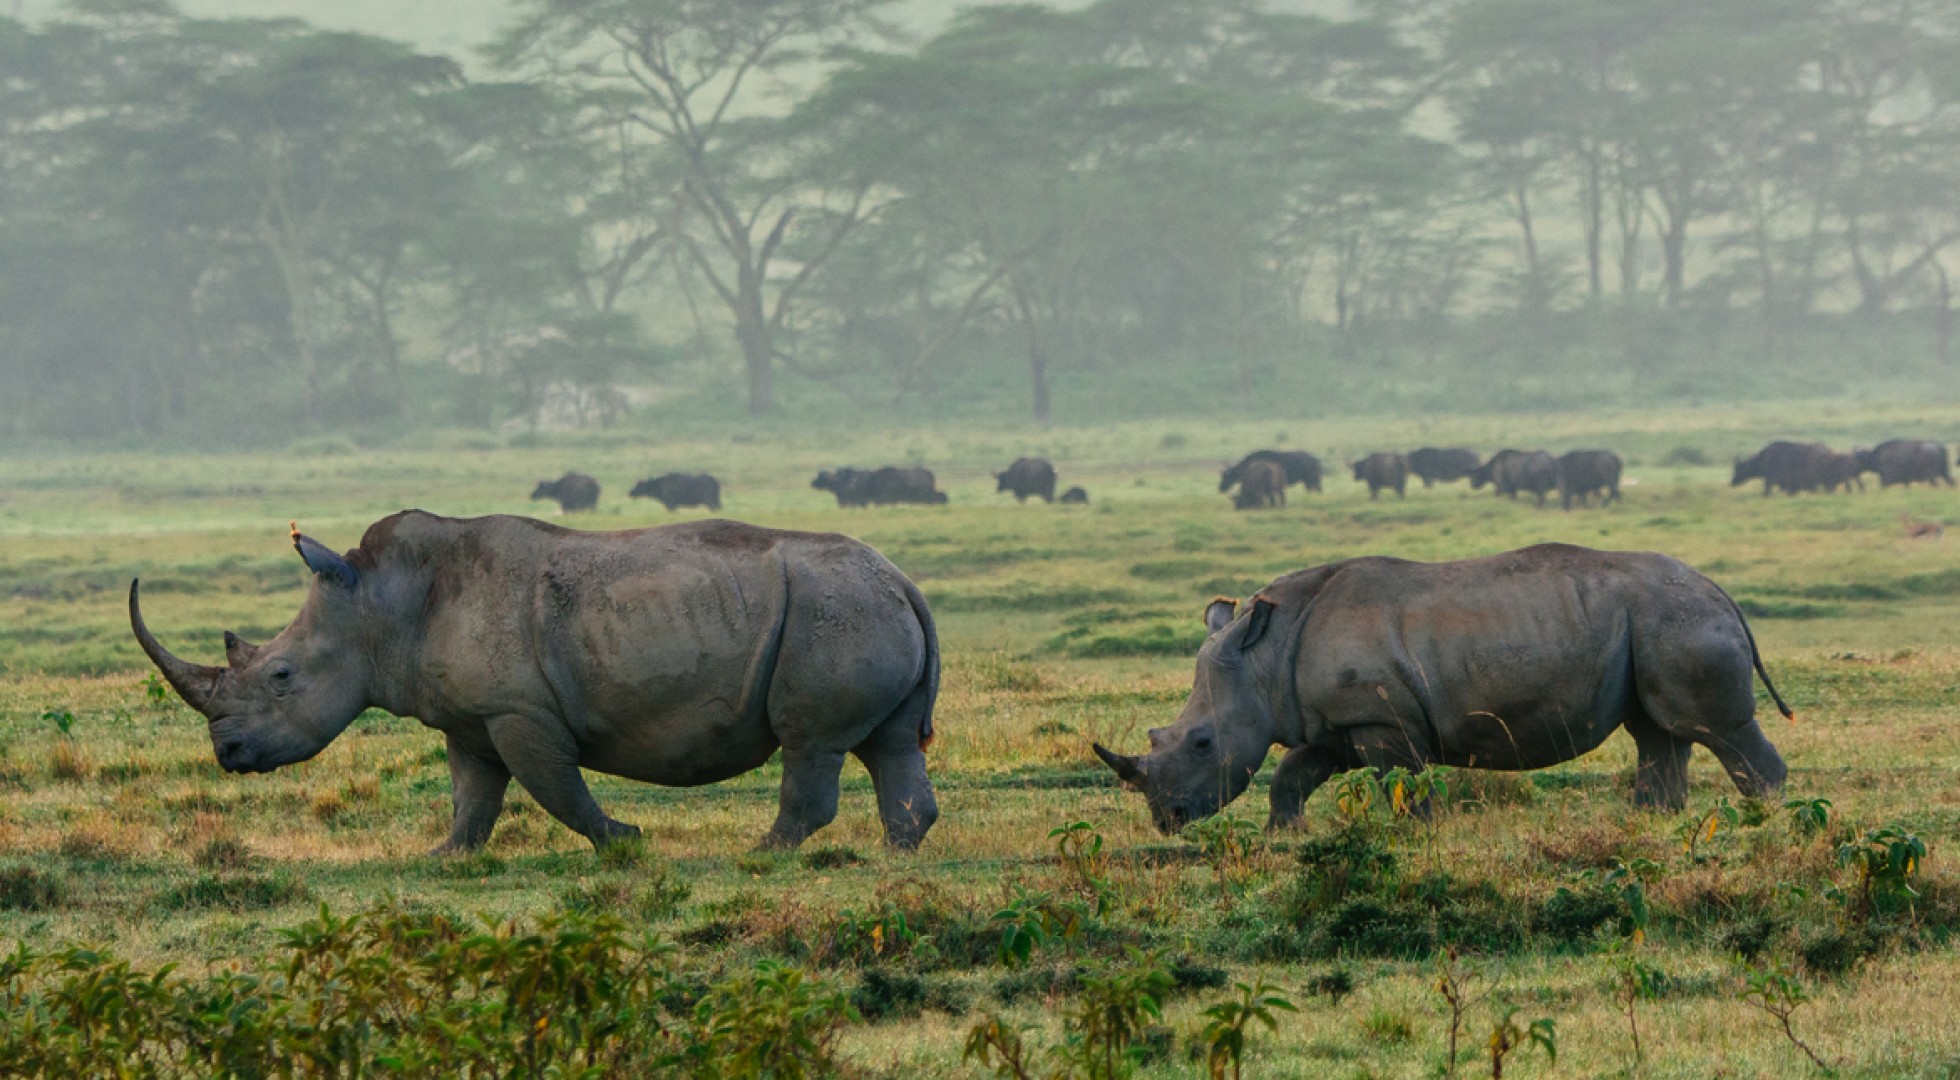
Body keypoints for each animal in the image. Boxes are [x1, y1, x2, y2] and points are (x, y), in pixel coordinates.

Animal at [131, 512, 941, 853]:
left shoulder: (516, 709)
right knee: (891, 742)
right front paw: (445, 857)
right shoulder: (468, 717)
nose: (227, 754)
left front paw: (625, 841)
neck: (378, 606)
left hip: (835, 610)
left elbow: (553, 786)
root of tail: (904, 579)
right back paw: (899, 850)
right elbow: (474, 795)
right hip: (858, 604)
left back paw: (762, 853)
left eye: (281, 675)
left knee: (812, 744)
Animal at [1092, 544, 1791, 833]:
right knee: (1659, 733)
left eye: (1202, 744)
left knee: (1714, 728)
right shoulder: (1339, 721)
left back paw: (1767, 815)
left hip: (1679, 620)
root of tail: (1719, 590)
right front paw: (1283, 834)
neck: (1264, 653)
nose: (1166, 821)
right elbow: (1294, 771)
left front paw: (1420, 834)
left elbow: (1403, 782)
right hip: (1650, 623)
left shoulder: (1380, 722)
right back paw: (1650, 820)